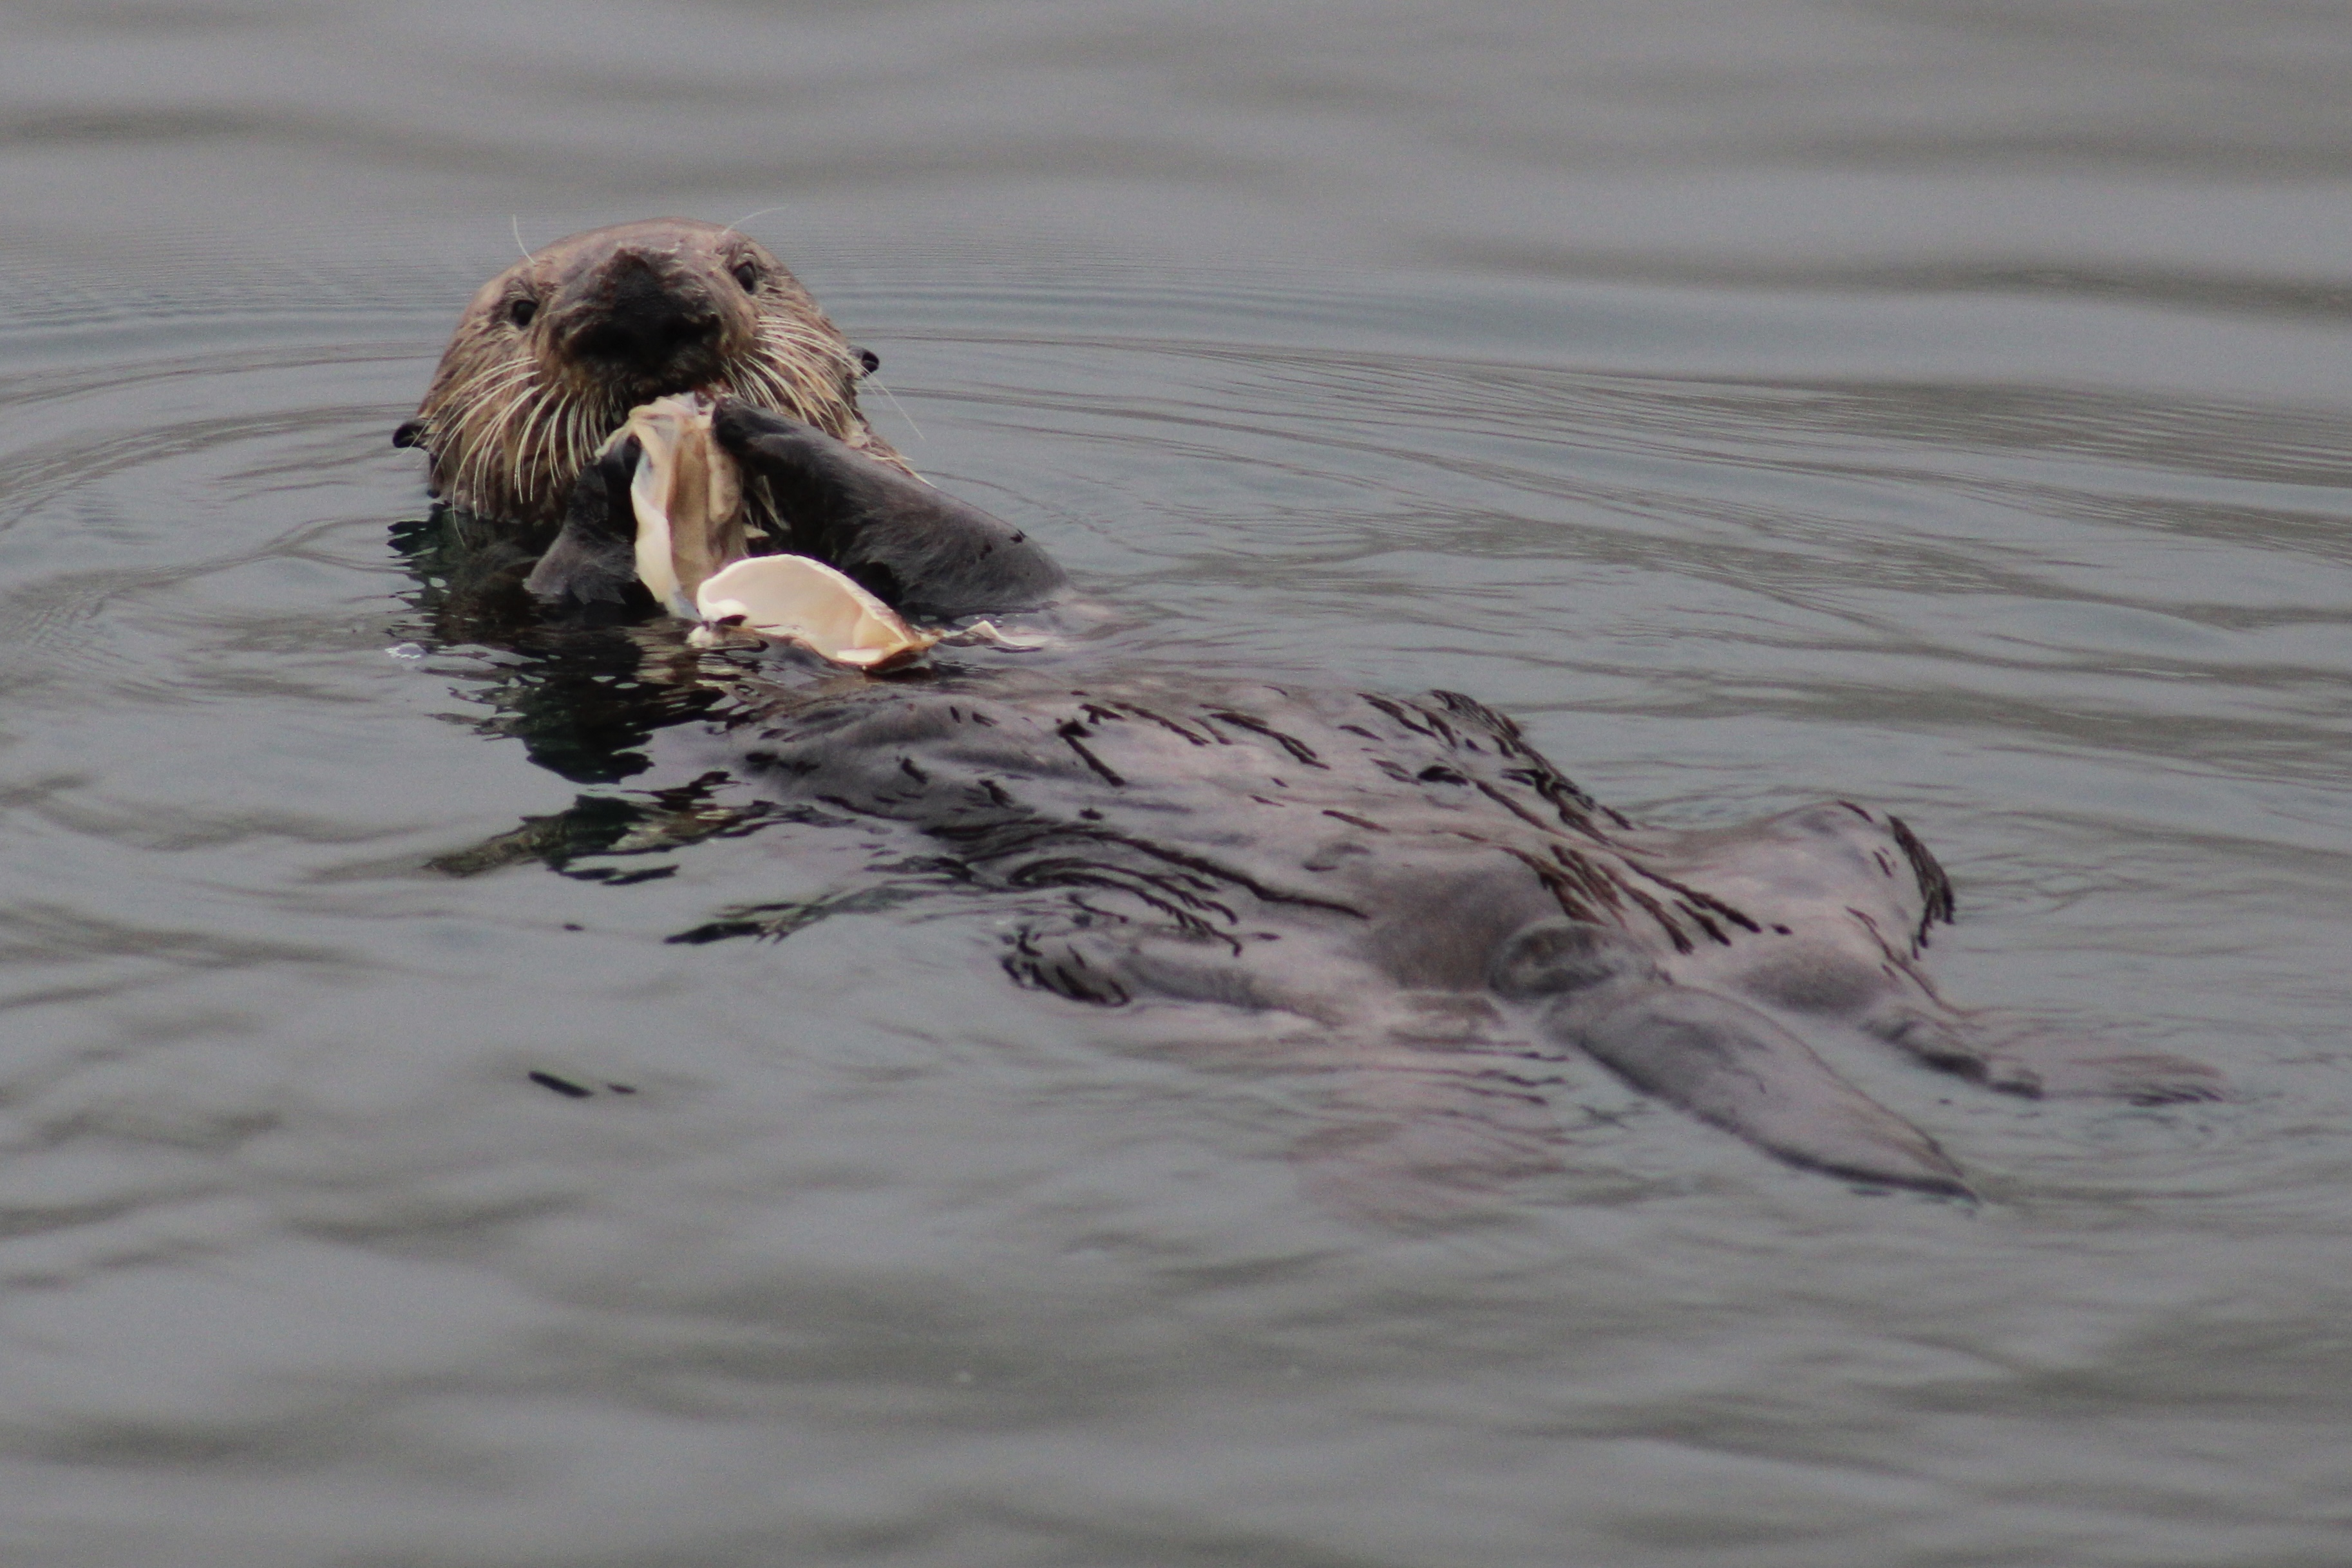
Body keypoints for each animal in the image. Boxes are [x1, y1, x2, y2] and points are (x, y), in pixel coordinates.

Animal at [404, 222, 2218, 1209]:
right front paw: (610, 484)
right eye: (516, 306)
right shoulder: (535, 637)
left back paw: (2126, 1071)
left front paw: (769, 441)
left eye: (749, 264)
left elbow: (976, 537)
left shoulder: (1015, 578)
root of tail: (1592, 945)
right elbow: (567, 615)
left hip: (1821, 855)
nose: (647, 299)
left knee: (1890, 952)